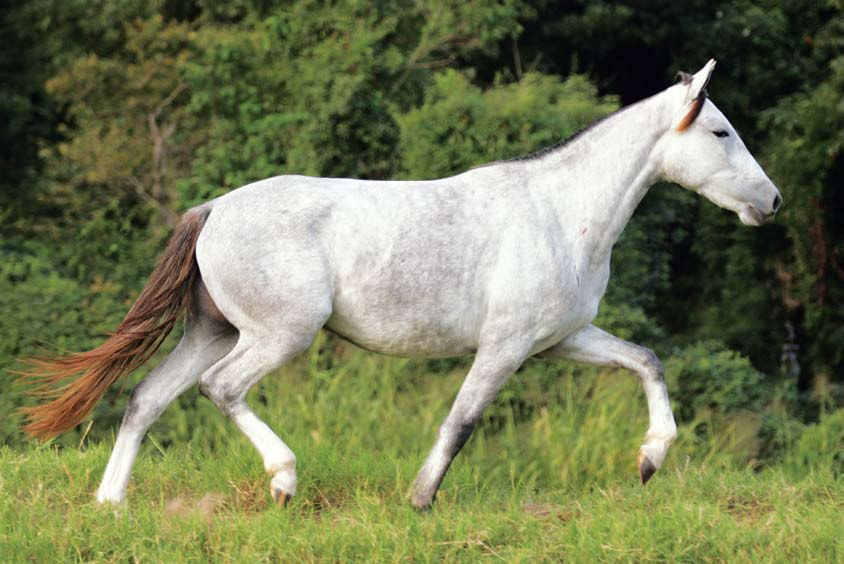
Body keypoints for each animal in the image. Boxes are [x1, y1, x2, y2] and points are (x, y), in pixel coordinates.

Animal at [24, 59, 780, 508]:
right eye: (719, 131)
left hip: (214, 331)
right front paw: (420, 500)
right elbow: (462, 421)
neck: (560, 212)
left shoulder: (561, 339)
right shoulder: (505, 347)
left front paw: (650, 460)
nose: (771, 202)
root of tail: (211, 210)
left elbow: (646, 360)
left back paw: (111, 504)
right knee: (221, 389)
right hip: (277, 335)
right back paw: (284, 480)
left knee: (145, 399)